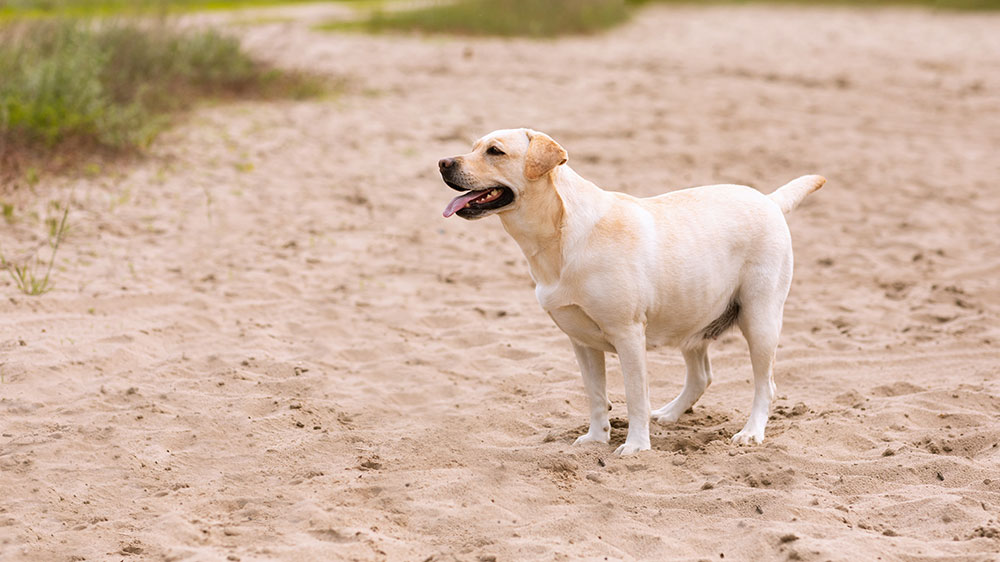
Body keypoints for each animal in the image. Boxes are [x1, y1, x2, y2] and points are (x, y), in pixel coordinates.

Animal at [436, 129, 820, 452]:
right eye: (473, 146)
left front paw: (636, 447)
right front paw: (595, 439)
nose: (442, 162)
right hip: (693, 317)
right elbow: (595, 395)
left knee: (765, 385)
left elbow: (635, 396)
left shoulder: (628, 333)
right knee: (702, 376)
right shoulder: (581, 341)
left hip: (760, 320)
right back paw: (669, 414)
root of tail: (770, 200)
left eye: (495, 151)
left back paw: (751, 432)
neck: (560, 234)